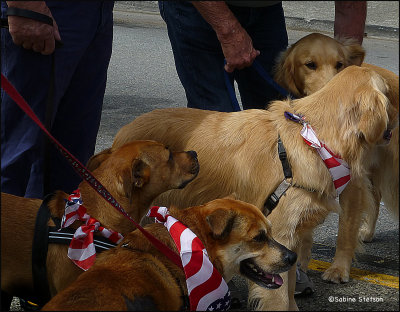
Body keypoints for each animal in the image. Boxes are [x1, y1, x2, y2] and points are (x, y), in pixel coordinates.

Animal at [111, 66, 396, 310]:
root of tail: (122, 135)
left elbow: (289, 285)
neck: (312, 138)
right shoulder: (280, 233)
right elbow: (279, 296)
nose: (394, 128)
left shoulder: (289, 239)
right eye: (389, 96)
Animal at [272, 33, 396, 284]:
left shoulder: (352, 183)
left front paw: (339, 269)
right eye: (310, 64)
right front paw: (300, 266)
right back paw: (368, 231)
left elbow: (345, 230)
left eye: (340, 64)